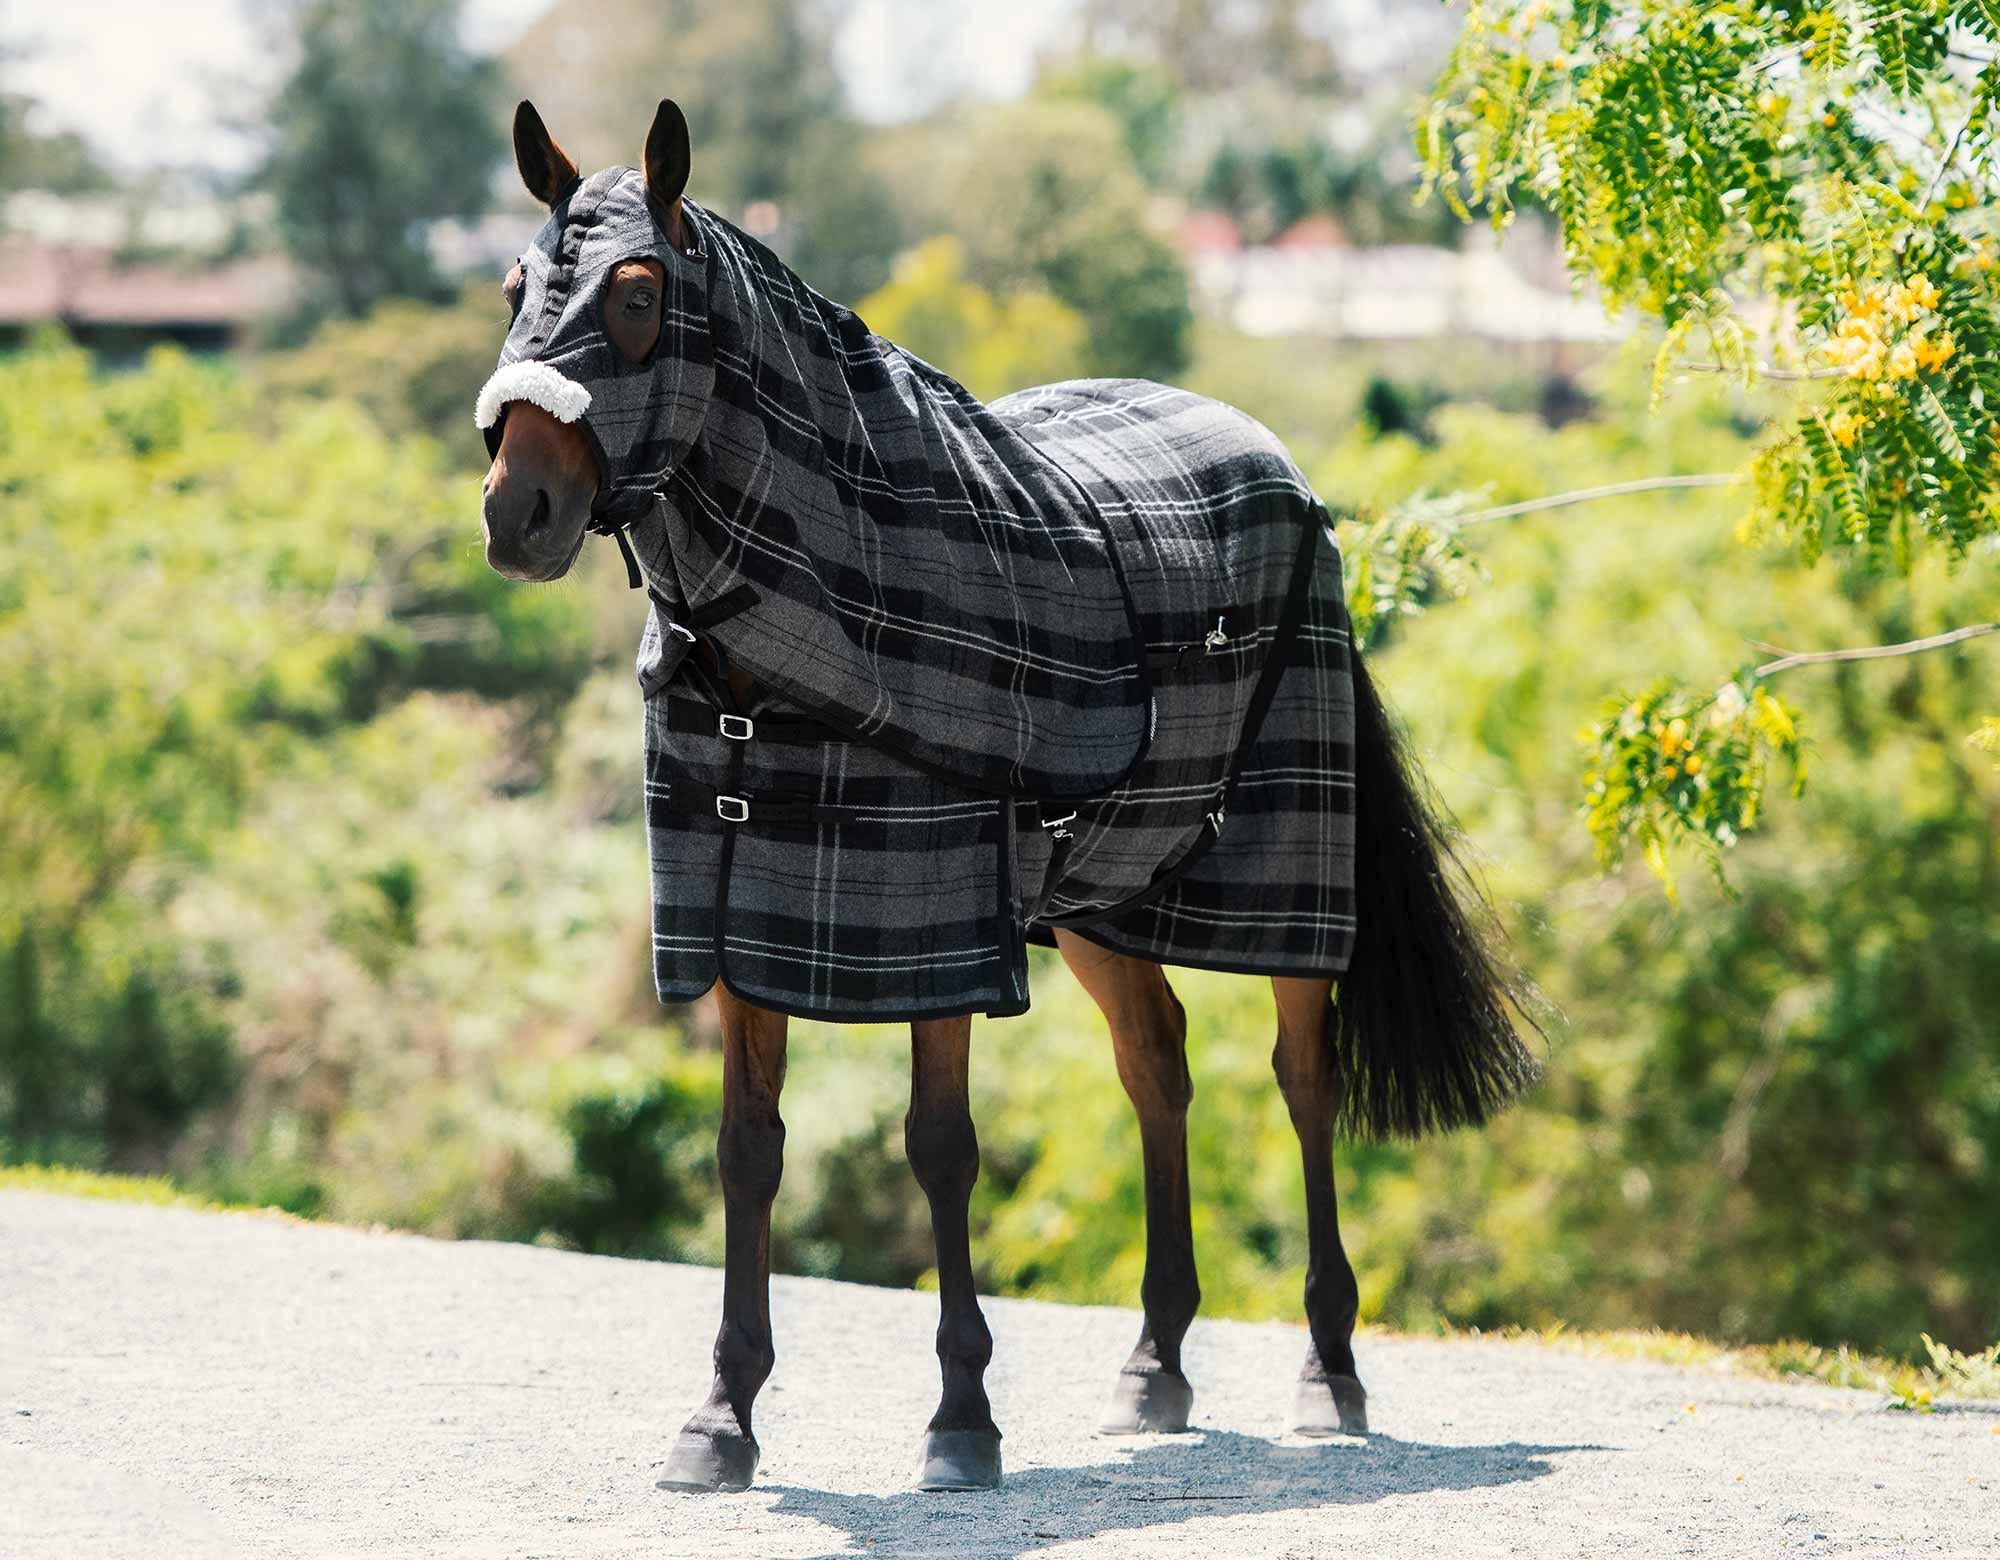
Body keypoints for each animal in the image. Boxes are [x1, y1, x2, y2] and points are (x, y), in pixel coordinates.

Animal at [475, 97, 1540, 1495]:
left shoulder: (943, 937)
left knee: (1301, 1080)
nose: (517, 513)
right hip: (1097, 904)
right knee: (1158, 1069)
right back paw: (1154, 1368)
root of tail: (1285, 477)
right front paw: (720, 1419)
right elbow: (747, 1152)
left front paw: (961, 1420)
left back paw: (1329, 1372)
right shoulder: (736, 927)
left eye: (641, 295)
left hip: (1282, 888)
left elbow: (940, 1146)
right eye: (513, 291)